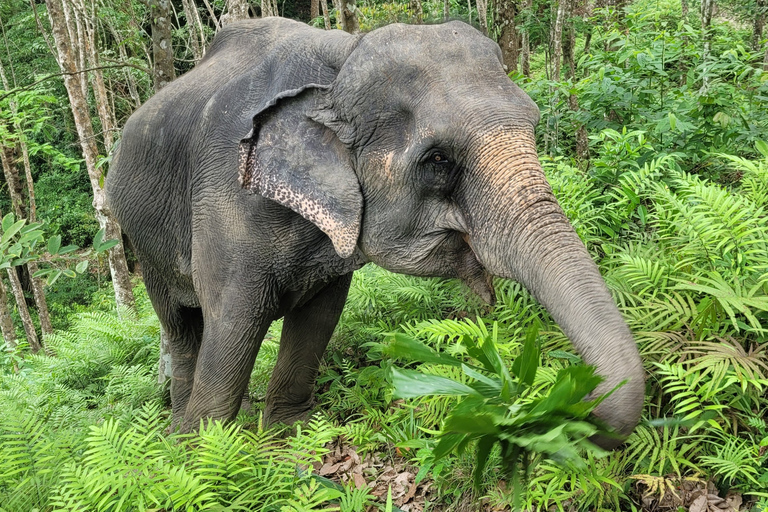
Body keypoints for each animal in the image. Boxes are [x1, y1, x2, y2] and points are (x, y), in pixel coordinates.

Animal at [105, 17, 644, 448]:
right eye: (438, 160)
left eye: (533, 125)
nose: (580, 405)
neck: (342, 57)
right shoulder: (225, 201)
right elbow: (233, 324)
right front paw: (204, 457)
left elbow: (319, 317)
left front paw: (290, 434)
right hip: (140, 239)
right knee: (183, 327)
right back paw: (174, 434)